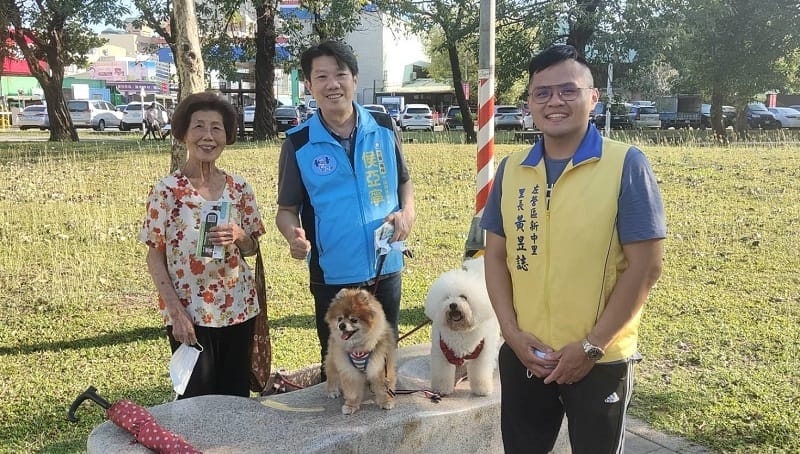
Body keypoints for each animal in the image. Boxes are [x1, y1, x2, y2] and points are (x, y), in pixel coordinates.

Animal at [422, 258, 496, 396]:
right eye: (447, 298)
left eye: (463, 297)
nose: (452, 305)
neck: (460, 330)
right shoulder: (442, 352)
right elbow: (442, 374)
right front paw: (441, 389)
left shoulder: (482, 354)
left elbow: (480, 373)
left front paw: (482, 389)